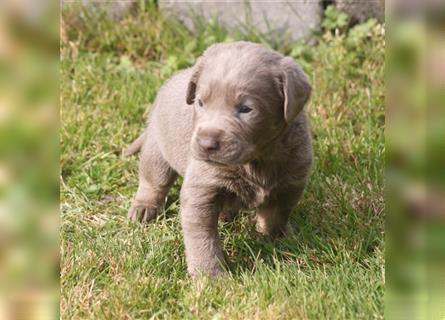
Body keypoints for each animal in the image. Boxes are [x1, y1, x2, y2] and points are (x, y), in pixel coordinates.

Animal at [125, 41, 312, 276]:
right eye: (200, 103)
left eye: (246, 109)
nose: (206, 144)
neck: (256, 160)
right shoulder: (201, 190)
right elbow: (203, 239)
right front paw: (209, 276)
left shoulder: (292, 181)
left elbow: (276, 214)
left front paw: (276, 237)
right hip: (157, 147)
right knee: (153, 181)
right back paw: (144, 208)